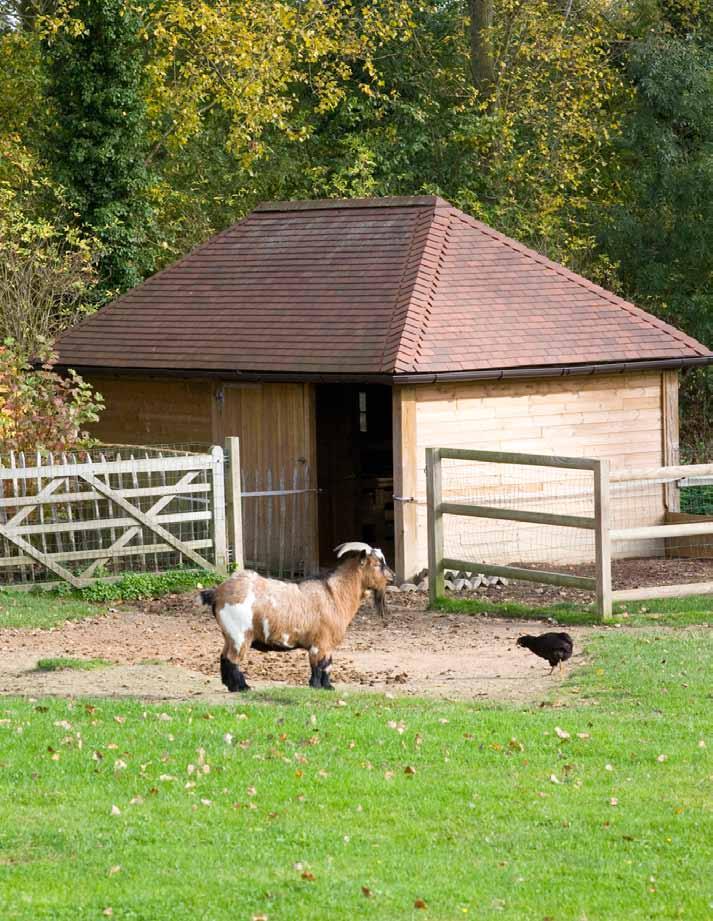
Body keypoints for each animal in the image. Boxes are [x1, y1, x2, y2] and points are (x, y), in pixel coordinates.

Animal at [199, 540, 394, 688]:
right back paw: (242, 688)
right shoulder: (320, 643)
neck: (334, 594)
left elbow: (327, 665)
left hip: (230, 636)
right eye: (378, 564)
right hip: (240, 635)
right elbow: (319, 666)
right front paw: (317, 687)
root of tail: (216, 594)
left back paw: (231, 686)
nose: (392, 577)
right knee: (232, 660)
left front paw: (328, 687)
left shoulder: (328, 645)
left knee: (224, 657)